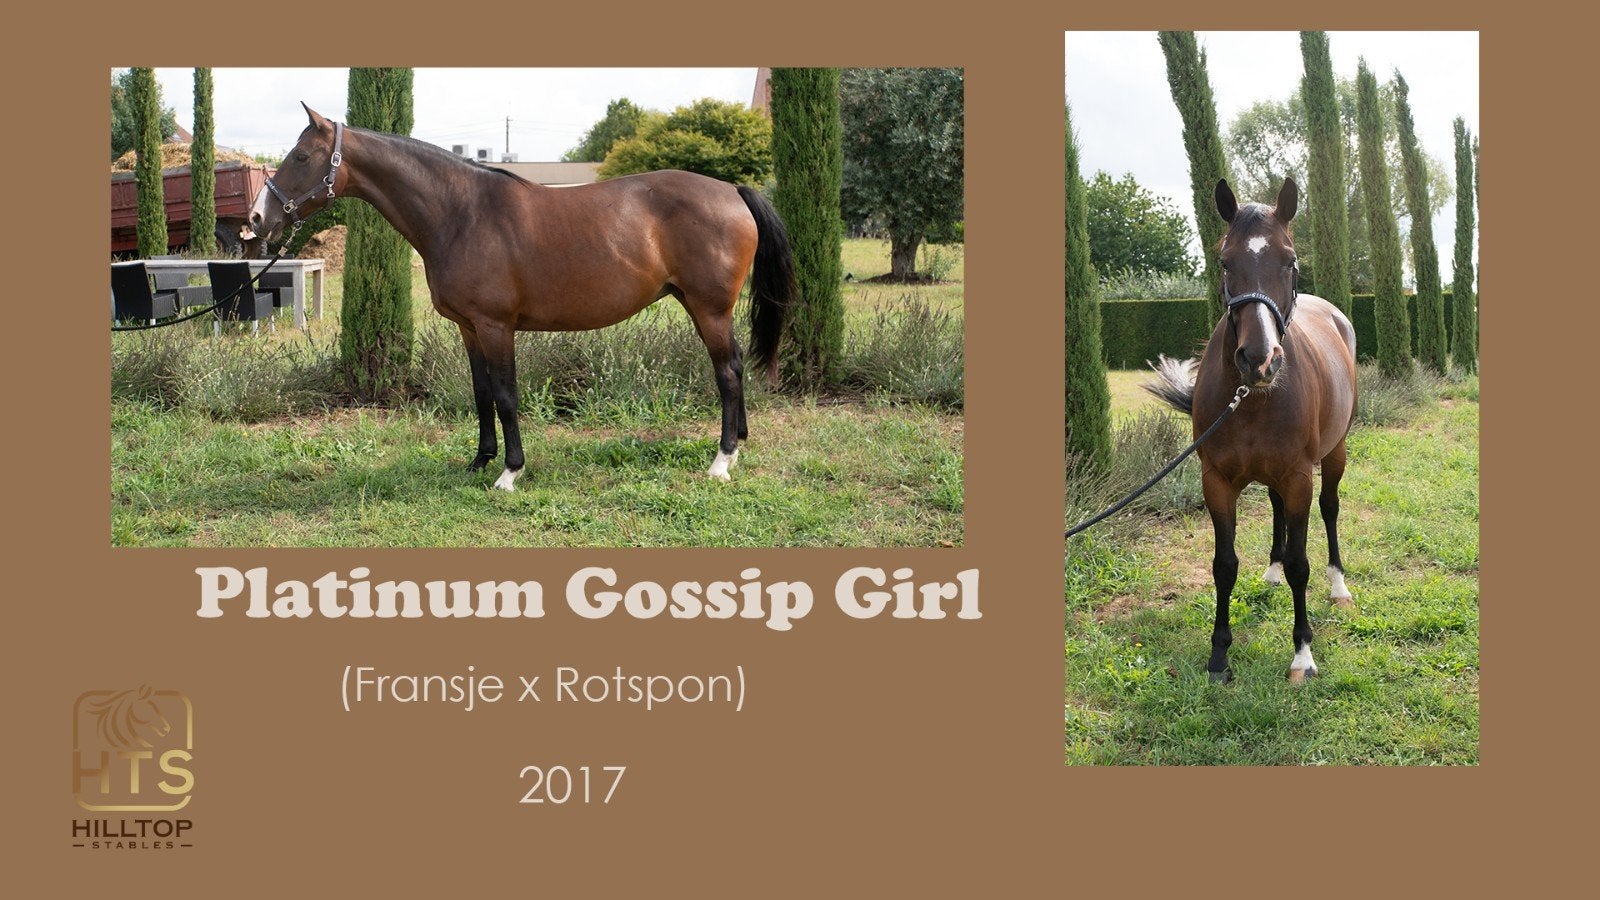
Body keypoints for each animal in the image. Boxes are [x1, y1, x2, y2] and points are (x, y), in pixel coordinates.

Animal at [245, 104, 793, 490]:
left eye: (301, 156)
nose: (256, 218)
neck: (461, 212)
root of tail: (732, 190)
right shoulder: (469, 327)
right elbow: (482, 394)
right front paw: (478, 460)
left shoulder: (496, 326)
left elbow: (507, 395)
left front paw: (510, 472)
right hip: (705, 308)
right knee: (735, 365)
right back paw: (739, 444)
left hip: (709, 308)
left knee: (727, 373)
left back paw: (721, 460)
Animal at [1144, 178, 1358, 684]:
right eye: (1225, 261)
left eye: (1290, 261)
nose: (1259, 360)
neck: (1254, 399)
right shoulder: (1217, 481)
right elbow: (1224, 565)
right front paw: (1219, 655)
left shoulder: (1299, 478)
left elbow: (1301, 562)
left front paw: (1302, 654)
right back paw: (1272, 571)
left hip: (1334, 453)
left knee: (1331, 509)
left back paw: (1338, 585)